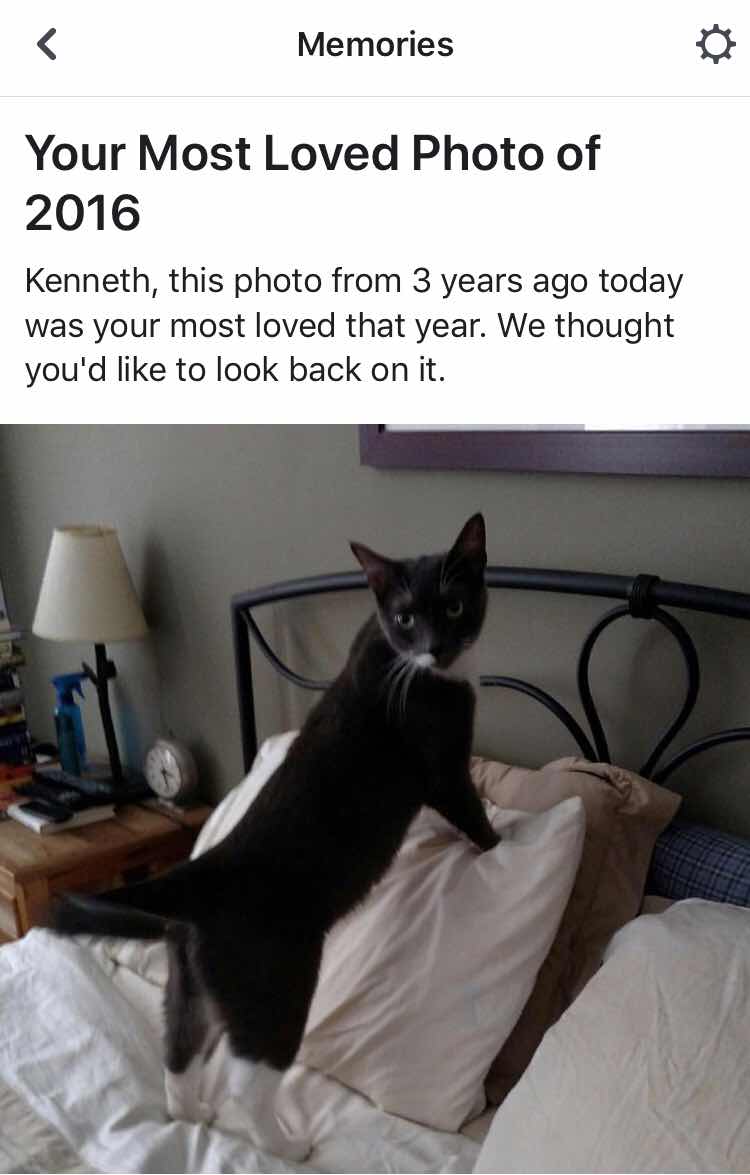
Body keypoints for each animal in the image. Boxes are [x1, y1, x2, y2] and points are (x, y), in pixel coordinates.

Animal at [49, 513, 498, 1161]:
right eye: (408, 618)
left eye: (456, 604)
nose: (437, 646)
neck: (403, 660)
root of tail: (201, 873)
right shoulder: (439, 763)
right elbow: (468, 809)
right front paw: (502, 838)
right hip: (275, 981)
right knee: (249, 1074)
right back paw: (285, 1144)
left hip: (191, 977)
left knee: (180, 1045)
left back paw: (192, 1112)